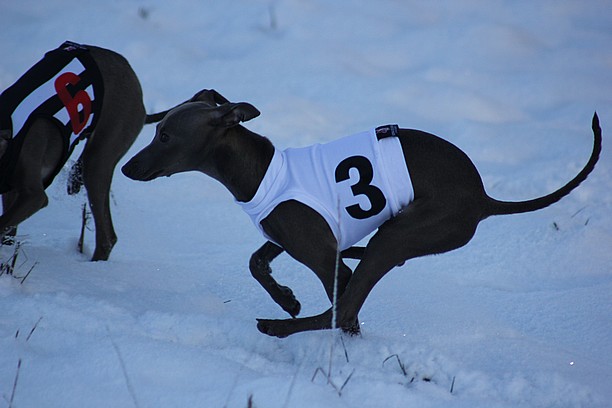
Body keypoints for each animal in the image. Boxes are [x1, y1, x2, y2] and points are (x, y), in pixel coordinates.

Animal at [120, 90, 604, 338]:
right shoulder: (293, 238)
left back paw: (274, 328)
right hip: (394, 234)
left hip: (398, 236)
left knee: (345, 305)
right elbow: (257, 262)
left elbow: (342, 304)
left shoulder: (321, 255)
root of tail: (483, 198)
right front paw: (286, 298)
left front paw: (289, 312)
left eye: (164, 135)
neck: (262, 172)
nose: (125, 168)